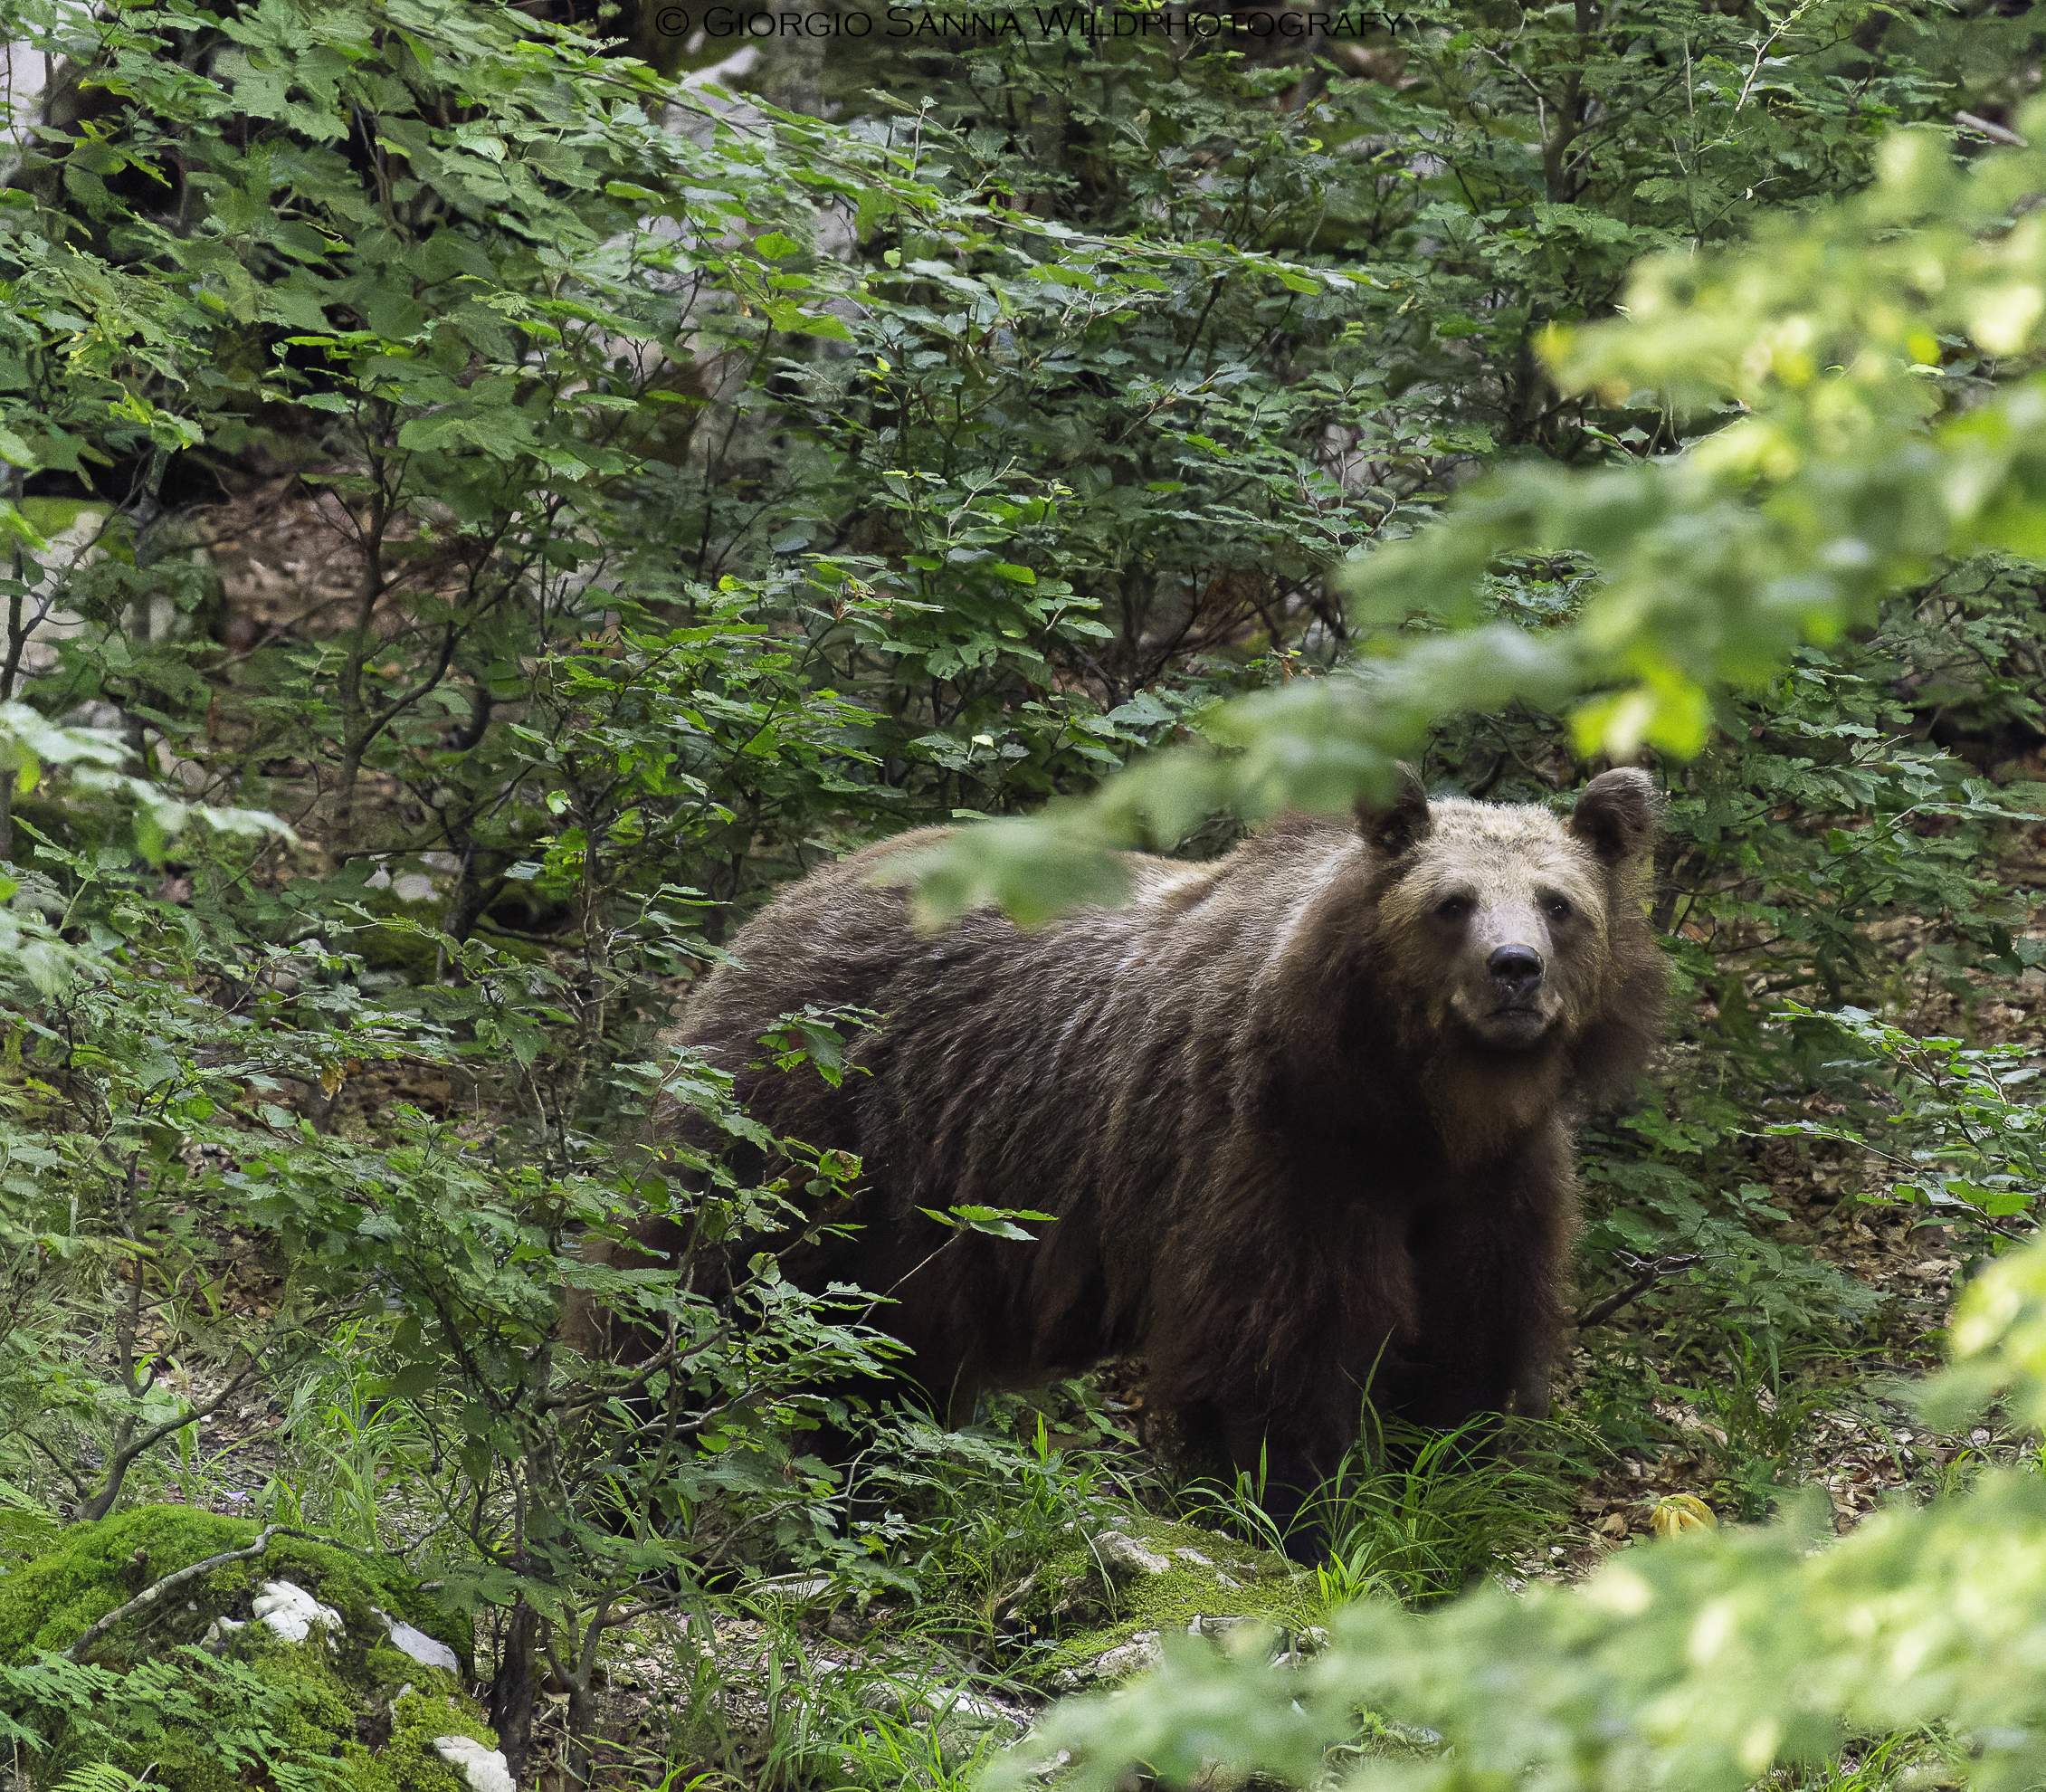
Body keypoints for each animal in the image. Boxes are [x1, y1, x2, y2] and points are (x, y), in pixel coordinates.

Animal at [636, 767, 1665, 1528]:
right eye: (1450, 902)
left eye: (1558, 902)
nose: (1513, 972)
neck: (1417, 1109)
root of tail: (797, 889)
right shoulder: (1280, 1149)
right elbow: (1278, 1348)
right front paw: (1299, 1513)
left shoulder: (1493, 1182)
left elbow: (1471, 1341)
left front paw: (1451, 1491)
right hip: (802, 1114)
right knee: (695, 1279)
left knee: (880, 1353)